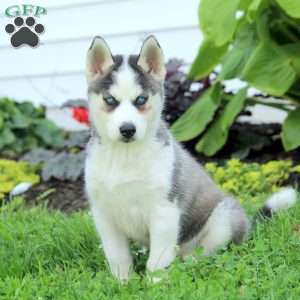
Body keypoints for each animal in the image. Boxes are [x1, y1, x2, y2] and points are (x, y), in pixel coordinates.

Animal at [84, 35, 298, 282]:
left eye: (141, 99)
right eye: (110, 100)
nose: (127, 129)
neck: (125, 157)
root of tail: (248, 225)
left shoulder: (165, 210)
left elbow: (157, 260)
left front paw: (154, 284)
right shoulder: (104, 214)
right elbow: (118, 256)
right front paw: (123, 283)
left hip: (222, 218)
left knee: (207, 253)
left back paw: (190, 263)